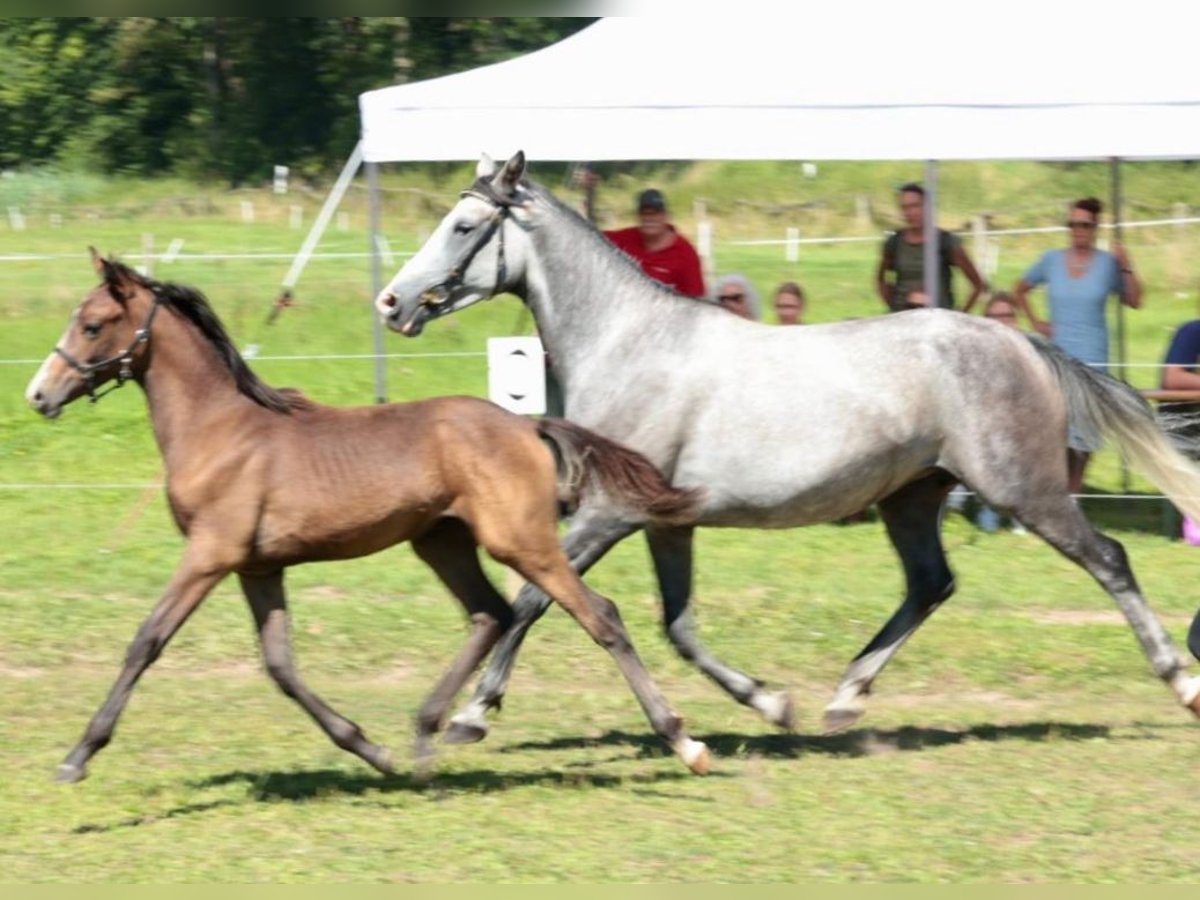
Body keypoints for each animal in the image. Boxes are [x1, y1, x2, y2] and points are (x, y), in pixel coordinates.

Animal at [25, 252, 710, 782]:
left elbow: (146, 641)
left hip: (520, 541)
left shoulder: (209, 554)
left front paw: (78, 755)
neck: (220, 428)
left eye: (92, 324)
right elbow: (281, 666)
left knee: (598, 616)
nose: (38, 394)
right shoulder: (258, 567)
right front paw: (370, 749)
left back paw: (684, 741)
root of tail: (526, 423)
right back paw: (425, 734)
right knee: (491, 613)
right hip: (441, 541)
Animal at [374, 151, 1200, 748]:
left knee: (1107, 560)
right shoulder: (666, 522)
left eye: (463, 225)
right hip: (913, 497)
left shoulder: (608, 513)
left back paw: (1181, 681)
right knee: (930, 584)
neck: (630, 345)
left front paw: (471, 716)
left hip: (1022, 490)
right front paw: (772, 703)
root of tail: (1019, 339)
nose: (390, 302)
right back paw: (844, 699)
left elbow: (532, 599)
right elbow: (677, 626)